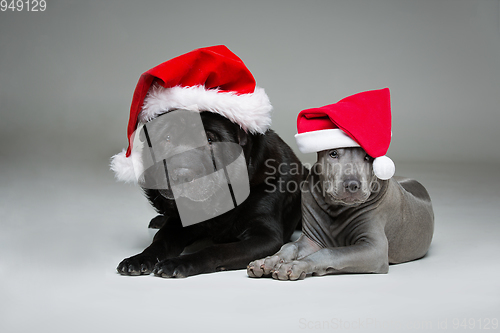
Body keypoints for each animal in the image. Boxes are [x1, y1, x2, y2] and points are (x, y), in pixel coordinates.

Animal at [117, 111, 304, 278]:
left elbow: (217, 250)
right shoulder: (176, 225)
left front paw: (178, 263)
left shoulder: (265, 236)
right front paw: (140, 258)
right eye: (167, 138)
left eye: (210, 140)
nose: (181, 175)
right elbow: (160, 240)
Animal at [247, 147, 434, 278]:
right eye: (333, 153)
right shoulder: (310, 240)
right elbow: (290, 246)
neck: (336, 208)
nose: (352, 185)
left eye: (368, 157)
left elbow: (329, 252)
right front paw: (268, 261)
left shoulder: (375, 249)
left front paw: (295, 266)